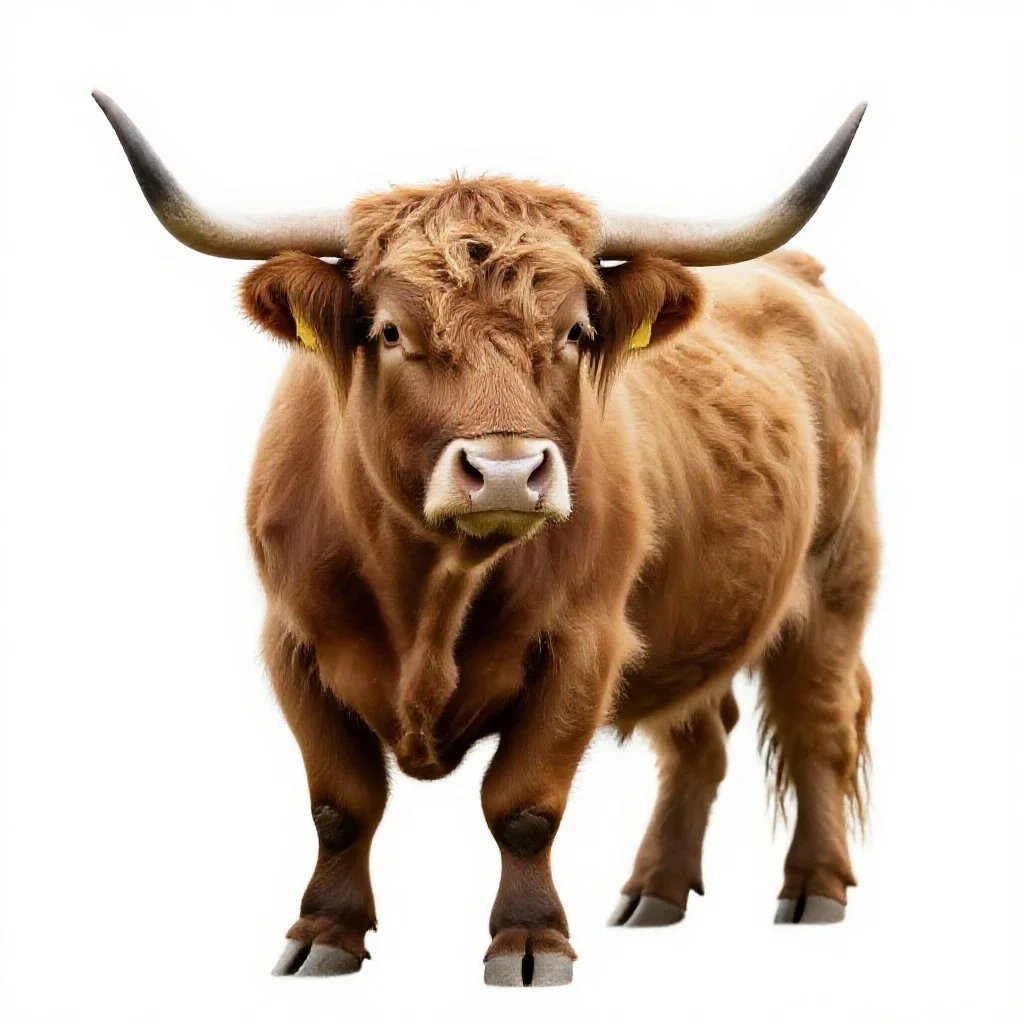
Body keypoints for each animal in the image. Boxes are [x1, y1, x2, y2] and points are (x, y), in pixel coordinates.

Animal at [94, 92, 879, 987]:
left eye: (575, 332)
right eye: (390, 332)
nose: (506, 473)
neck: (429, 593)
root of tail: (800, 278)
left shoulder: (585, 643)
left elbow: (523, 805)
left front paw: (529, 942)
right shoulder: (294, 643)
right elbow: (340, 803)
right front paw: (324, 933)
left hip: (835, 587)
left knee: (819, 725)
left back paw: (813, 889)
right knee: (699, 741)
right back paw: (655, 892)